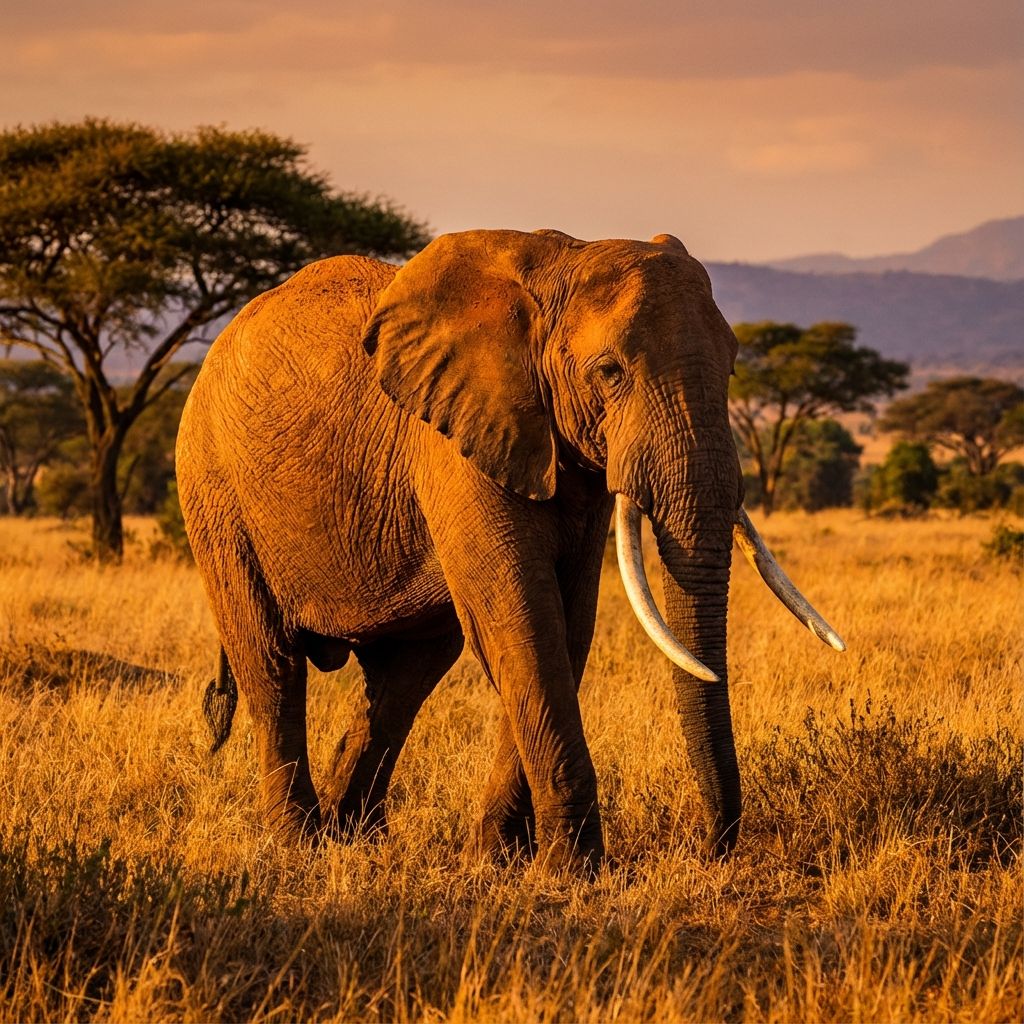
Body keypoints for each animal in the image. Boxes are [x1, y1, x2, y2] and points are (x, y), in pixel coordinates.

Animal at [176, 228, 844, 872]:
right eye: (609, 372)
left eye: (732, 370)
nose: (710, 849)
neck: (559, 266)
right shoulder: (454, 443)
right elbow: (523, 623)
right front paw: (572, 870)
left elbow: (565, 628)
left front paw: (500, 860)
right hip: (213, 491)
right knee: (272, 663)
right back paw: (299, 843)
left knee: (404, 677)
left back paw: (352, 838)